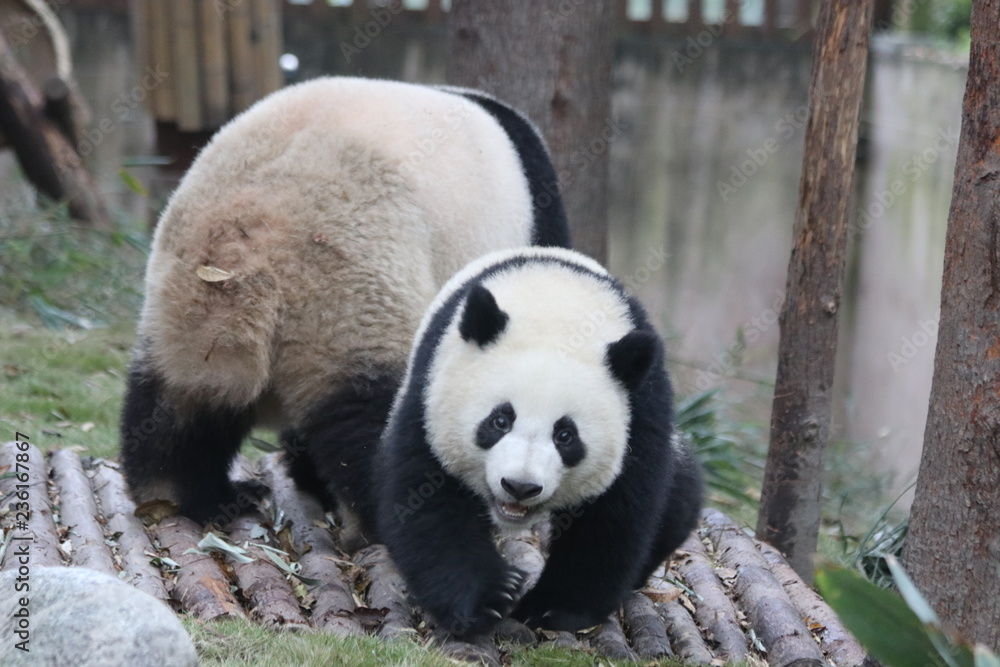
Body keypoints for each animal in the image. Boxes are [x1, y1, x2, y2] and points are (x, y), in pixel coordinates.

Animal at [120, 77, 570, 538]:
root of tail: (254, 236)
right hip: (347, 292)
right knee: (365, 415)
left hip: (186, 302)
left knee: (177, 403)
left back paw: (191, 495)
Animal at [377, 246, 704, 636]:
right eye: (500, 420)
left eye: (565, 435)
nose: (519, 486)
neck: (559, 310)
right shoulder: (431, 390)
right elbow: (428, 497)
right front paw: (486, 599)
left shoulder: (640, 410)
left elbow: (615, 514)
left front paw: (553, 608)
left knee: (680, 498)